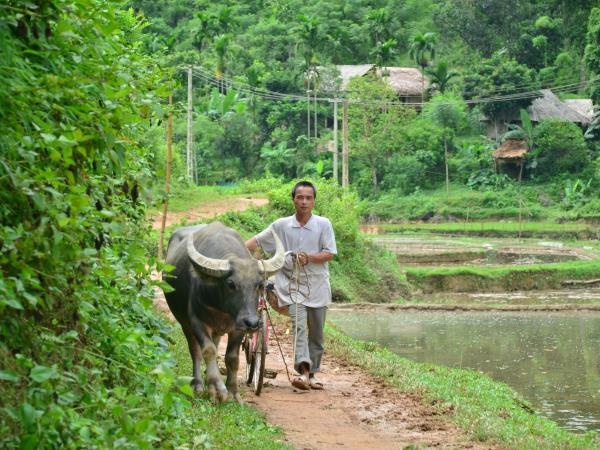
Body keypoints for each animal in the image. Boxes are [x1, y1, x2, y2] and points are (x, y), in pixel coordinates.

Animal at [163, 223, 284, 402]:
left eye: (259, 284)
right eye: (231, 284)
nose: (253, 323)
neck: (224, 309)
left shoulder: (238, 327)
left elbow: (232, 358)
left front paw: (233, 392)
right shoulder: (196, 321)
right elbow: (209, 350)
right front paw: (218, 389)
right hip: (184, 323)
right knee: (195, 351)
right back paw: (198, 385)